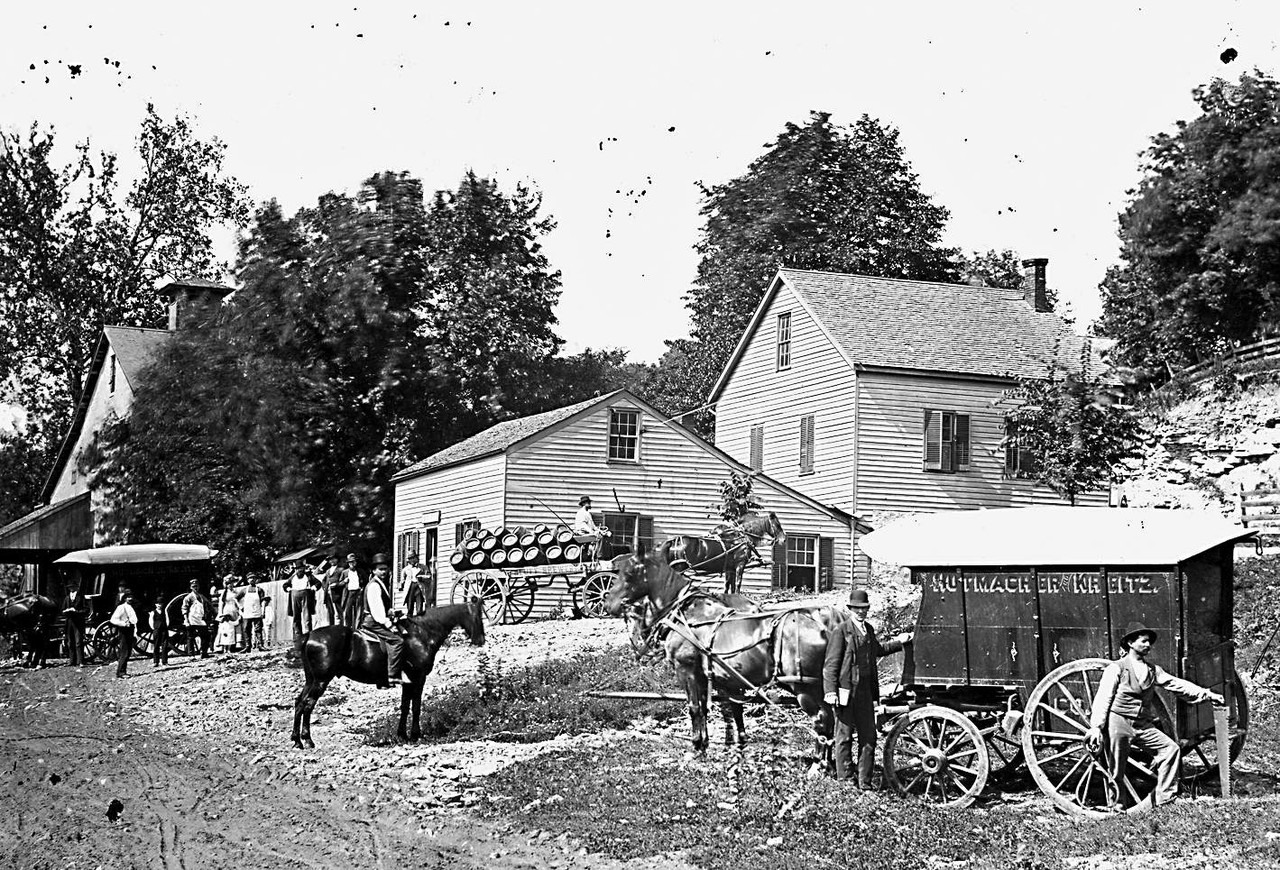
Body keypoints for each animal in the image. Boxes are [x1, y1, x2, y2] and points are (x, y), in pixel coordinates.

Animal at [290, 598, 483, 747]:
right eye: (477, 615)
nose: (481, 640)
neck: (421, 634)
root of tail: (310, 636)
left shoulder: (408, 682)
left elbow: (405, 706)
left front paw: (402, 735)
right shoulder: (418, 678)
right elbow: (416, 706)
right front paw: (415, 734)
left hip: (311, 680)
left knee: (299, 702)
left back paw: (297, 740)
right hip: (321, 680)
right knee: (308, 704)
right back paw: (308, 740)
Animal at [604, 547, 844, 762]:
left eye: (628, 574)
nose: (608, 604)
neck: (686, 614)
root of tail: (827, 627)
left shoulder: (687, 671)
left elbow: (694, 708)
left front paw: (697, 747)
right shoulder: (714, 678)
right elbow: (717, 710)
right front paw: (713, 745)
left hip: (806, 688)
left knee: (821, 720)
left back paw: (820, 763)